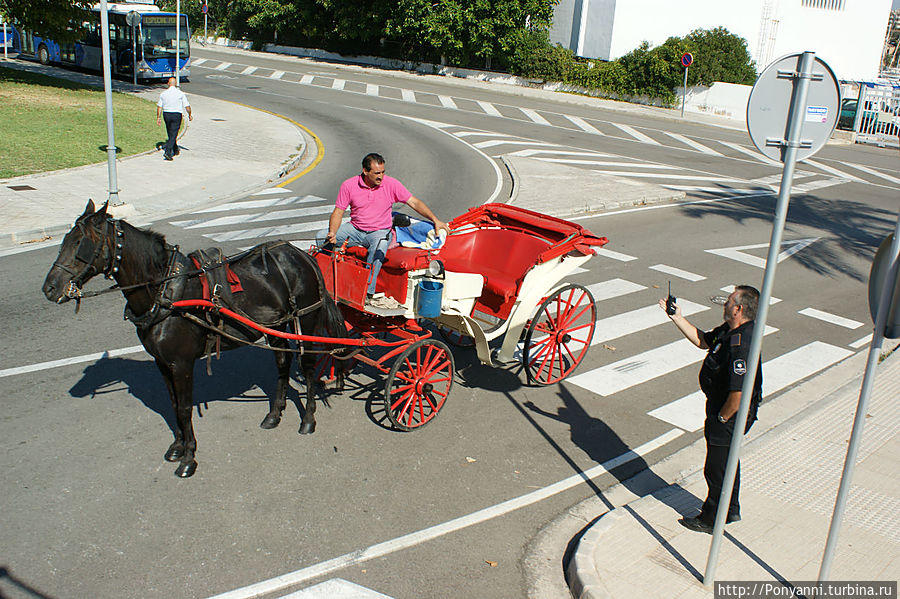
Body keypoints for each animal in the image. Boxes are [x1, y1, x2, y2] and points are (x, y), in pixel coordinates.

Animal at [44, 202, 350, 478]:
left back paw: (308, 418)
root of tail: (300, 254)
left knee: (307, 367)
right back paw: (274, 414)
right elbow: (172, 404)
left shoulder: (181, 364)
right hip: (278, 326)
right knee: (283, 363)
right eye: (64, 241)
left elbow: (184, 408)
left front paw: (189, 457)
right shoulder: (162, 363)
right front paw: (177, 447)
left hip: (306, 319)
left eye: (80, 243)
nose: (49, 288)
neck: (165, 292)